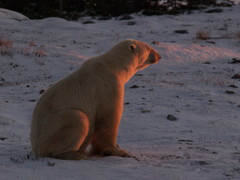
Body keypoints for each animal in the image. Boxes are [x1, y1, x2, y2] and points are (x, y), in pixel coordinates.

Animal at [30, 39, 161, 160]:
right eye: (149, 48)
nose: (159, 56)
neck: (114, 66)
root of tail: (37, 149)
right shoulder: (108, 87)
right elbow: (108, 118)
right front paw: (119, 152)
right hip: (53, 128)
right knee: (79, 118)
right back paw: (76, 154)